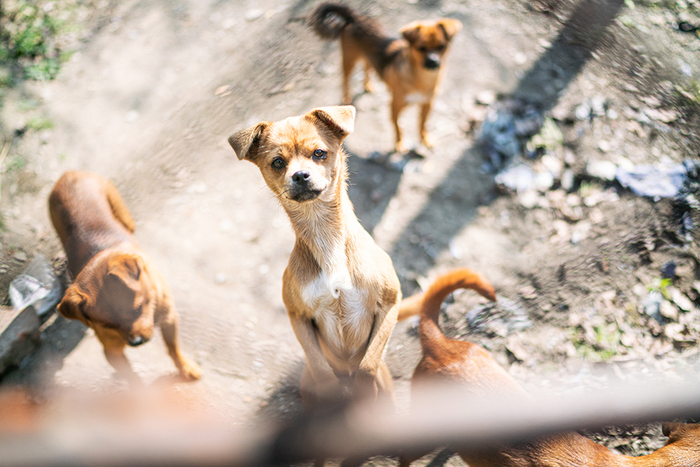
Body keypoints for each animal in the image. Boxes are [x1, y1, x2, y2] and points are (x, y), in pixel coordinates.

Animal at [48, 170, 202, 386]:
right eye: (107, 325)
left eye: (137, 308)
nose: (135, 343)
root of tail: (68, 174)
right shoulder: (112, 351)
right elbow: (133, 378)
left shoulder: (170, 318)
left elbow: (173, 349)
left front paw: (185, 368)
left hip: (125, 216)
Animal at [308, 2, 462, 153]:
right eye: (421, 48)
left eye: (442, 46)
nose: (433, 61)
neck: (422, 78)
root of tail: (355, 17)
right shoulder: (395, 106)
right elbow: (398, 126)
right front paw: (399, 144)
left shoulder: (427, 104)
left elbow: (422, 124)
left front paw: (425, 139)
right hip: (349, 60)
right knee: (346, 79)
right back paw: (347, 97)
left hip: (368, 57)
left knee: (367, 68)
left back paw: (368, 85)